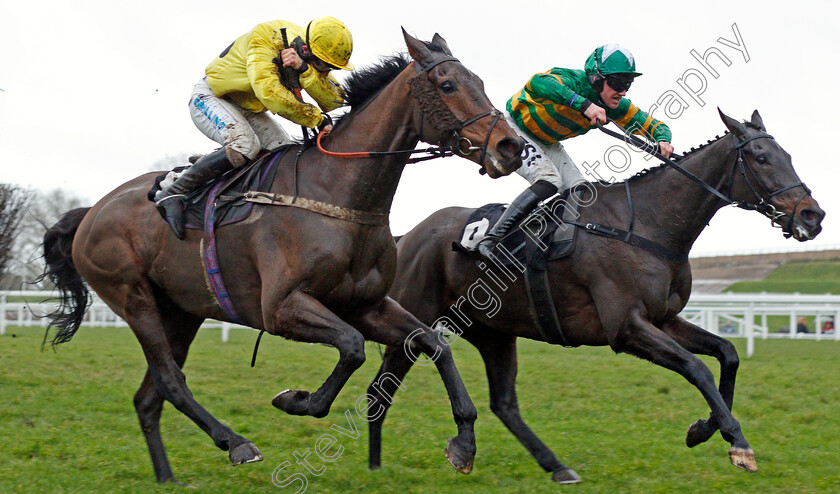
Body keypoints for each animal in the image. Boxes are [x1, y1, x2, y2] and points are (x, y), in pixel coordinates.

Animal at [42, 29, 524, 482]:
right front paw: (296, 400)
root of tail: (92, 212)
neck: (337, 191)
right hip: (133, 297)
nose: (511, 147)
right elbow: (352, 348)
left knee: (149, 396)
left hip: (180, 310)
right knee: (170, 380)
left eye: (480, 81)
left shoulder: (367, 304)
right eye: (447, 84)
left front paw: (464, 442)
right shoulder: (281, 307)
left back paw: (167, 477)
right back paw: (235, 442)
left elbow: (431, 342)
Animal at [370, 109, 828, 482]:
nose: (813, 215)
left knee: (504, 403)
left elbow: (727, 354)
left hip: (494, 331)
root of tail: (408, 235)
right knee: (382, 388)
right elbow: (697, 368)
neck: (647, 225)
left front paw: (704, 429)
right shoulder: (626, 327)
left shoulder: (663, 320)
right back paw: (381, 464)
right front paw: (737, 442)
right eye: (762, 157)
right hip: (414, 318)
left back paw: (554, 466)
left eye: (787, 154)